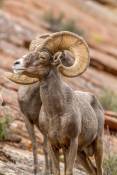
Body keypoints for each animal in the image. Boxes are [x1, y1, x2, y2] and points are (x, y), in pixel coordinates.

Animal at [11, 31, 104, 175]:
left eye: (43, 57)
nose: (16, 63)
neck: (56, 113)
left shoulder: (72, 143)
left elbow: (68, 171)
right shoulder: (53, 144)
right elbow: (55, 170)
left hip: (97, 146)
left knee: (99, 169)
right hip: (81, 153)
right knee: (92, 170)